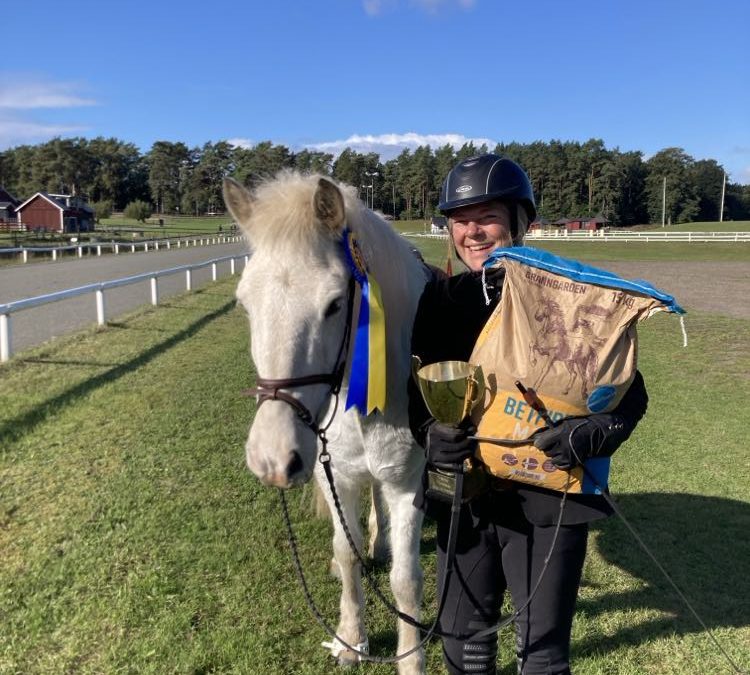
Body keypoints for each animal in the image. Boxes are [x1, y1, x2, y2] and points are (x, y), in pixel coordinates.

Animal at [223, 172, 432, 672]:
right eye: (244, 304)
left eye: (336, 304)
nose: (272, 459)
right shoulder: (335, 471)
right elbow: (346, 553)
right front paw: (351, 639)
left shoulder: (407, 484)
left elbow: (405, 580)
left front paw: (410, 659)